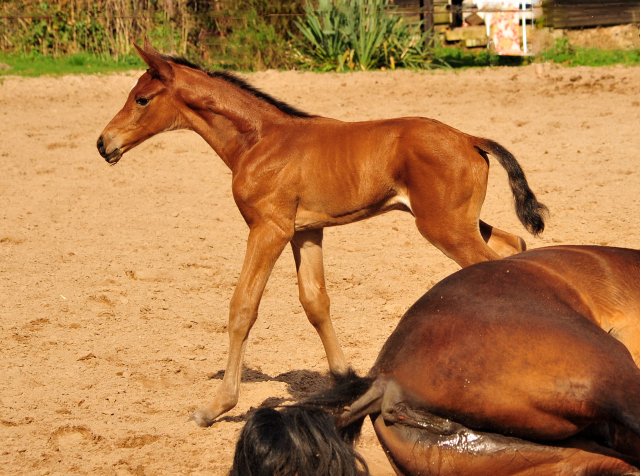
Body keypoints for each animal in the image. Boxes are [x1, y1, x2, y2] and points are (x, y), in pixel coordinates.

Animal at [97, 41, 548, 426]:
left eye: (142, 99)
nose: (104, 144)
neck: (259, 141)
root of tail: (470, 139)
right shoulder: (306, 233)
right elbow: (315, 302)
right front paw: (345, 382)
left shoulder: (269, 229)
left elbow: (243, 307)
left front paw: (215, 407)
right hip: (459, 221)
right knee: (514, 245)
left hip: (445, 228)